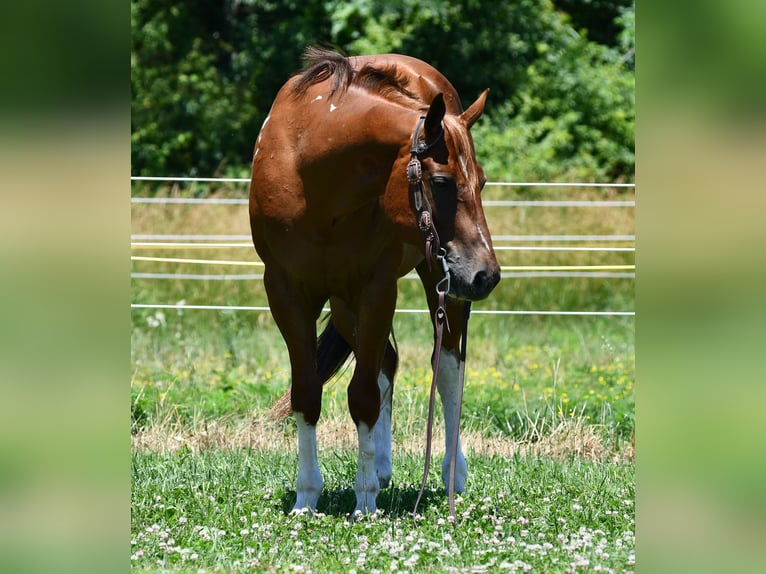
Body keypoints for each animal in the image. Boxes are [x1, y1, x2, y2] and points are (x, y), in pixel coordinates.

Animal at [249, 47, 500, 515]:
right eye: (441, 181)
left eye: (482, 181)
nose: (486, 275)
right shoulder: (286, 292)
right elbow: (307, 392)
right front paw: (307, 497)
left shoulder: (377, 289)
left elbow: (362, 395)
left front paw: (364, 501)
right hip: (347, 303)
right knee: (387, 363)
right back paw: (381, 467)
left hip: (436, 283)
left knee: (448, 369)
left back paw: (449, 473)